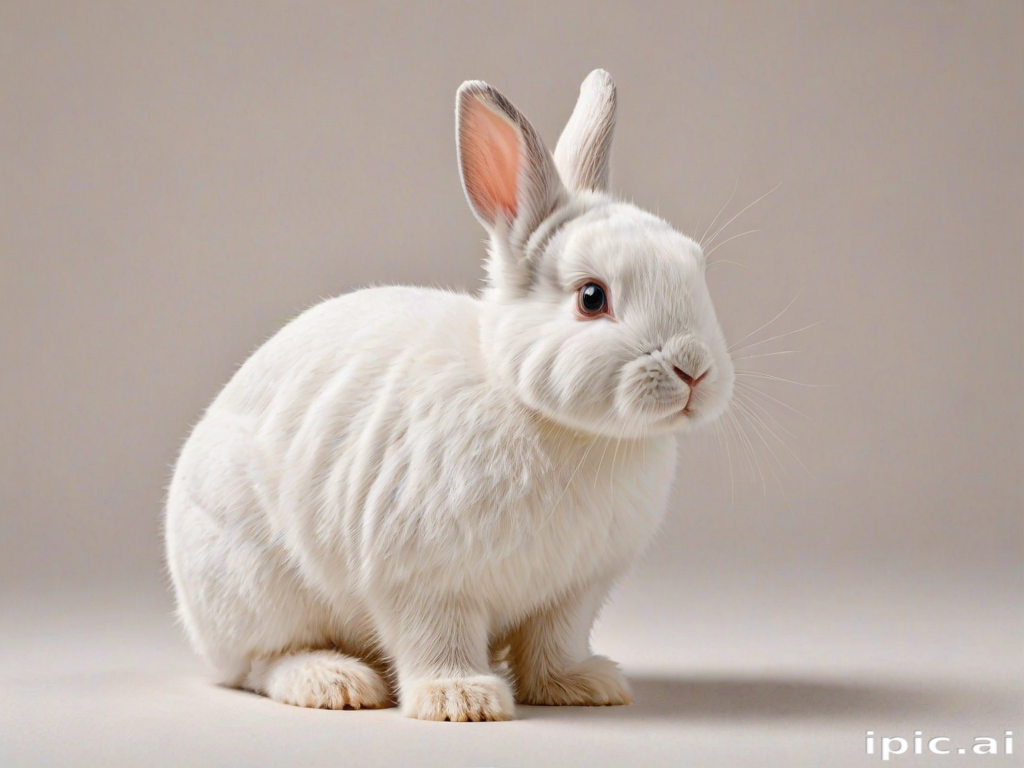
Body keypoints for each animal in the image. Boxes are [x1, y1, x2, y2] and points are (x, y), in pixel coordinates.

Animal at [164, 69, 735, 722]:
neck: (549, 417)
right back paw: (335, 683)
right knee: (260, 663)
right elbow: (437, 639)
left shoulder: (574, 592)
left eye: (695, 266)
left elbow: (555, 643)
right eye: (592, 298)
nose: (694, 368)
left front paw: (583, 686)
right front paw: (462, 700)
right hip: (255, 586)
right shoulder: (425, 581)